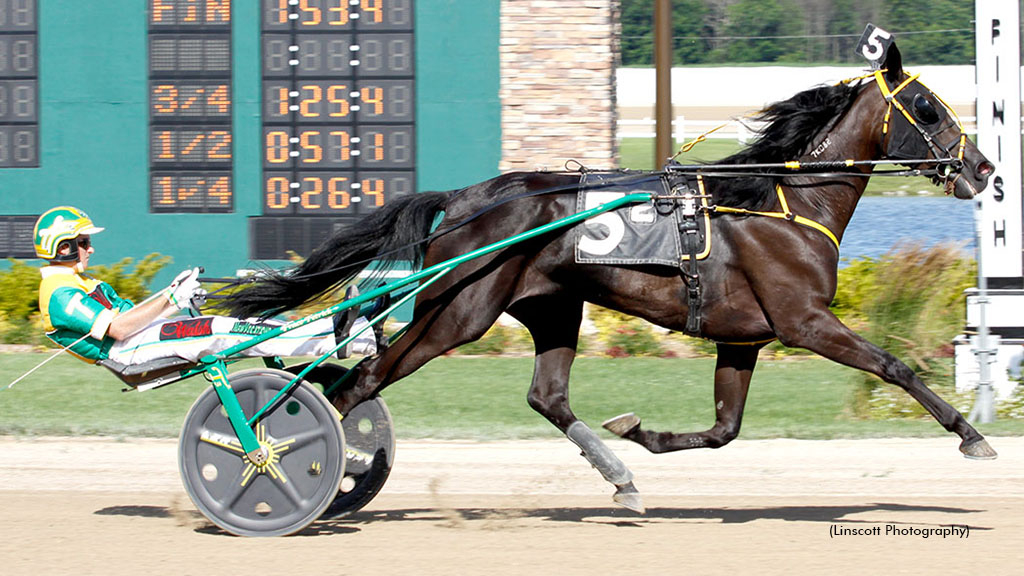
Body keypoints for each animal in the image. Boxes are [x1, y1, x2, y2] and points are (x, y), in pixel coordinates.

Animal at [228, 45, 995, 510]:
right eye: (928, 108)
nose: (983, 168)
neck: (782, 201)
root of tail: (465, 198)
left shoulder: (743, 337)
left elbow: (724, 430)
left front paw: (638, 435)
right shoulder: (805, 322)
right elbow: (894, 365)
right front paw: (971, 434)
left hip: (551, 307)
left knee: (546, 396)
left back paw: (622, 478)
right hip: (458, 311)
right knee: (358, 382)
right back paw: (291, 468)